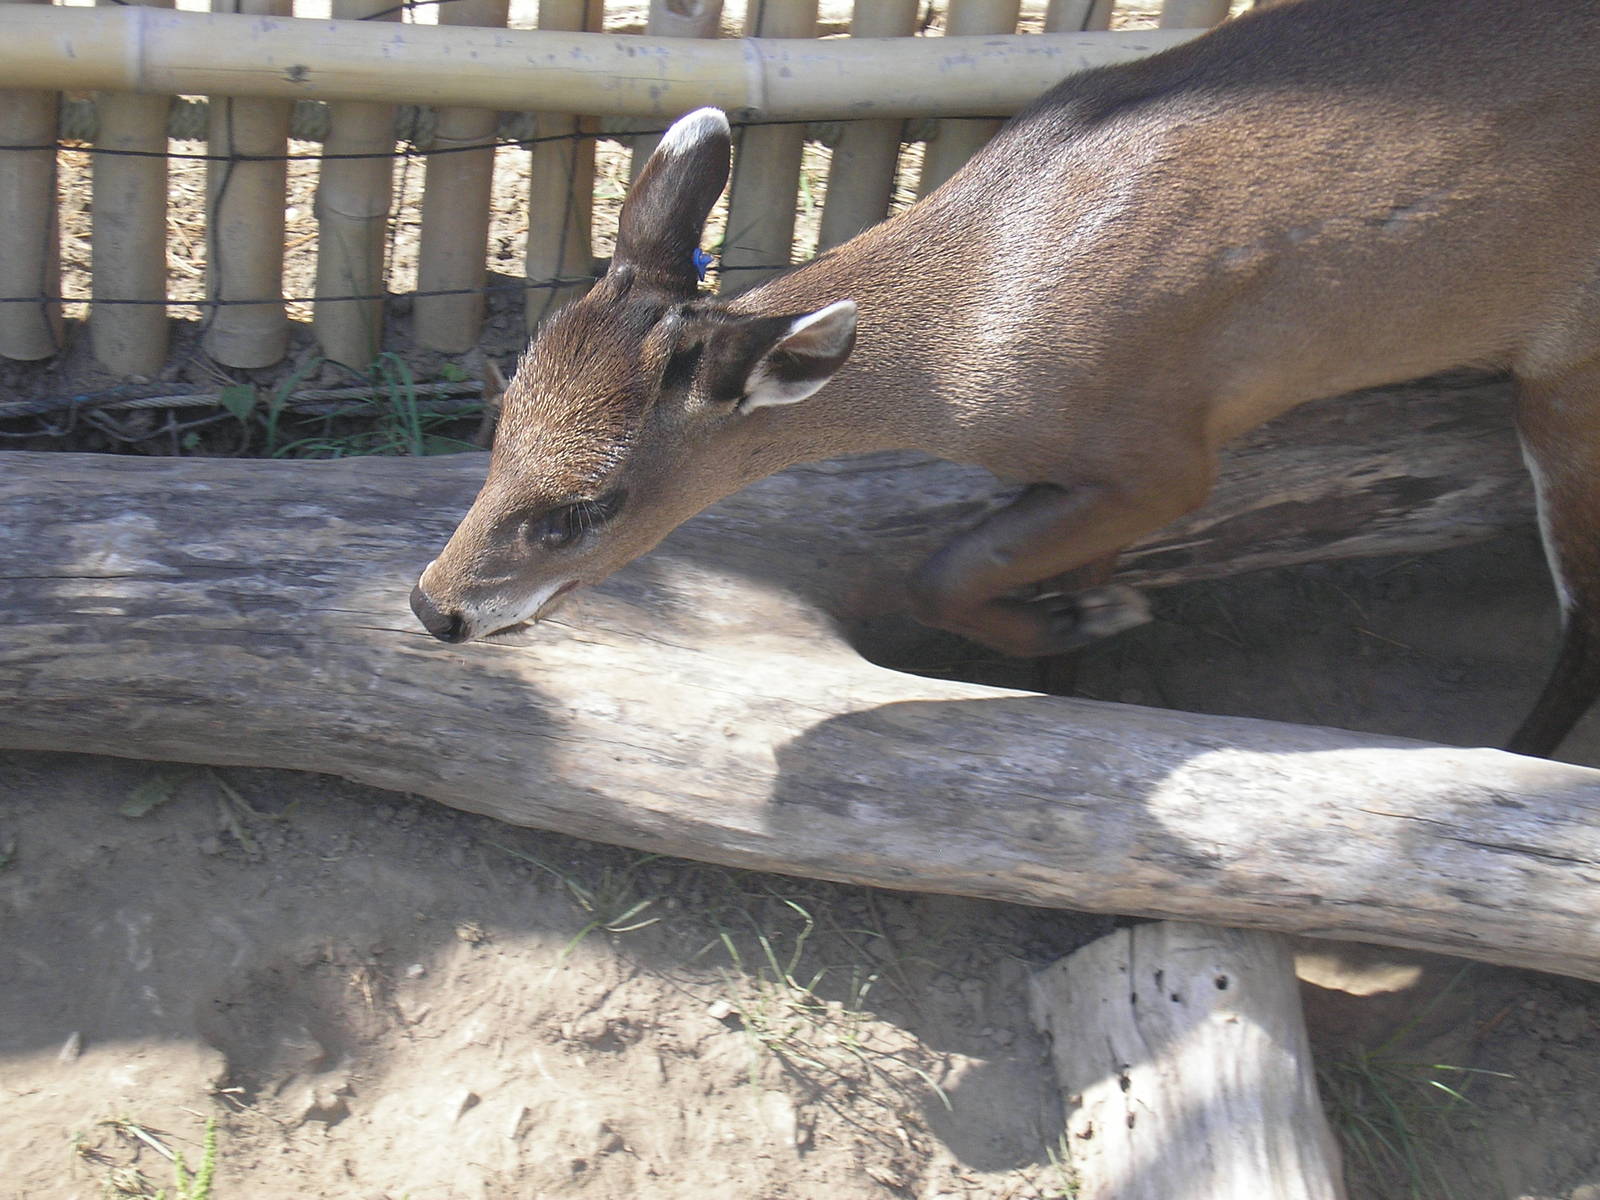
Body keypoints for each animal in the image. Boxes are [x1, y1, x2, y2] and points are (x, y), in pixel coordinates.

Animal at [411, 0, 1600, 759]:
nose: (435, 608)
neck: (978, 332)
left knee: (1583, 614)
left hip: (1565, 368)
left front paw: (1090, 628)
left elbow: (942, 570)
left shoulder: (1165, 449)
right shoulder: (1102, 472)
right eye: (495, 427)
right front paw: (1079, 653)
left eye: (589, 504)